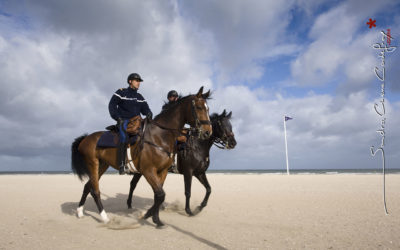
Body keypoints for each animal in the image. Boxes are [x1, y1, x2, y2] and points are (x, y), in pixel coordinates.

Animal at [69, 87, 212, 228]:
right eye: (199, 107)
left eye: (208, 108)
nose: (207, 132)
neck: (160, 136)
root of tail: (85, 139)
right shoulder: (149, 171)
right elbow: (161, 195)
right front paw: (151, 217)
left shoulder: (163, 171)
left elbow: (158, 196)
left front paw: (155, 219)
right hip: (93, 164)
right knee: (95, 190)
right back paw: (105, 218)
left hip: (102, 165)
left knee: (88, 186)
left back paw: (80, 212)